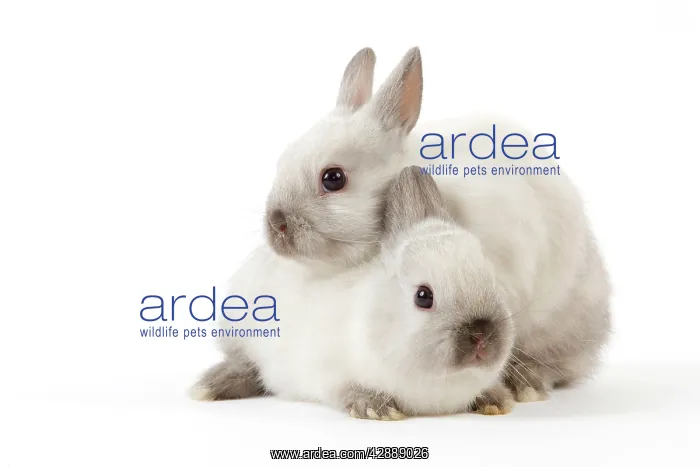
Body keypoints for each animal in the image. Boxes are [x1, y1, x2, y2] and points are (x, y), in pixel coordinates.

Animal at [191, 167, 517, 420]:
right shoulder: (327, 371)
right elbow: (347, 389)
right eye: (423, 296)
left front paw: (496, 400)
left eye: (492, 280)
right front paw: (375, 407)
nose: (482, 334)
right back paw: (209, 387)